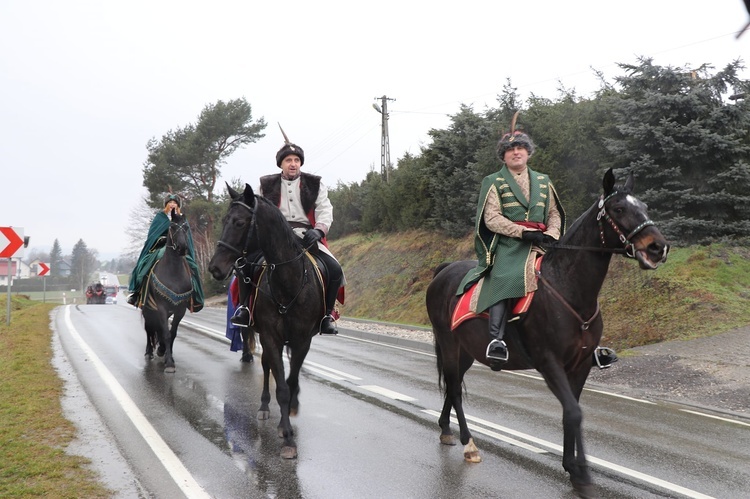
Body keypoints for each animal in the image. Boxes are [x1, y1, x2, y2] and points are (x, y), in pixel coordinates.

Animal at [142, 211, 194, 376]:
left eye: (186, 227)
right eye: (172, 226)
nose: (183, 247)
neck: (174, 273)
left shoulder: (180, 309)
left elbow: (172, 333)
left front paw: (167, 355)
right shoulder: (161, 308)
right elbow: (165, 333)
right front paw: (169, 362)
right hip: (148, 310)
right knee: (149, 329)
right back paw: (149, 352)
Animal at [212, 184, 328, 460]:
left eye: (239, 222)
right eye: (223, 221)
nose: (214, 268)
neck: (288, 281)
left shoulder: (302, 339)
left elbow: (292, 381)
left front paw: (291, 420)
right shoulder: (270, 337)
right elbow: (281, 387)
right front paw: (287, 436)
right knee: (266, 368)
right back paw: (264, 406)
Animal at [426, 170, 672, 498]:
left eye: (644, 206)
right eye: (619, 209)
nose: (658, 247)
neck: (568, 289)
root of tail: (443, 271)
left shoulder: (580, 365)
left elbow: (573, 412)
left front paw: (572, 467)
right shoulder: (549, 363)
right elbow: (574, 412)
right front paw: (583, 475)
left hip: (466, 351)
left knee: (453, 388)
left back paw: (445, 429)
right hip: (449, 344)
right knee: (454, 389)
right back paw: (469, 444)